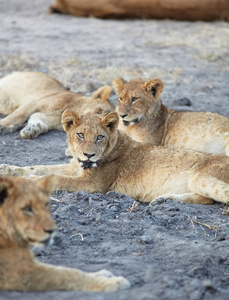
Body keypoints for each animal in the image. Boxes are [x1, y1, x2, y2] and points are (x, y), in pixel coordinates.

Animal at [0, 175, 129, 292]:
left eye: (46, 204)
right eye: (27, 208)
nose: (52, 230)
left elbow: (65, 269)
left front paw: (102, 274)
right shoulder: (18, 272)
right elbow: (68, 274)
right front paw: (113, 282)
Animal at [1, 111, 229, 205]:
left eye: (100, 137)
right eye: (80, 135)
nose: (89, 154)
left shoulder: (94, 184)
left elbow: (57, 179)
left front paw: (29, 182)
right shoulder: (74, 168)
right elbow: (40, 167)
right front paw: (7, 169)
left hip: (201, 178)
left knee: (217, 196)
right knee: (206, 199)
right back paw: (165, 199)